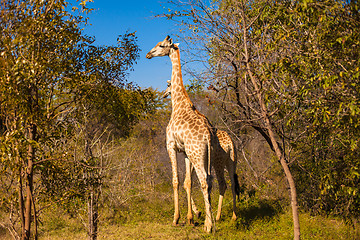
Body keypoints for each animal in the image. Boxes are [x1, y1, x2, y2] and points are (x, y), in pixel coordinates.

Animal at [145, 35, 215, 231]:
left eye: (161, 45)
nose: (148, 54)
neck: (178, 102)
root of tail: (208, 135)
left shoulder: (171, 145)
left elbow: (175, 181)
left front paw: (176, 218)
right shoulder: (184, 151)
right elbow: (187, 182)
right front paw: (190, 218)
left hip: (197, 154)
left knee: (204, 180)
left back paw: (209, 226)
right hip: (206, 155)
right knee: (209, 180)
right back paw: (207, 221)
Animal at [165, 79, 240, 221]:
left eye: (168, 85)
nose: (165, 93)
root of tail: (230, 143)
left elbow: (187, 182)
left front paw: (195, 213)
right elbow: (189, 181)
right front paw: (197, 212)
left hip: (217, 162)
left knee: (222, 183)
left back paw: (217, 216)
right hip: (231, 161)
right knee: (232, 183)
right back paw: (233, 216)